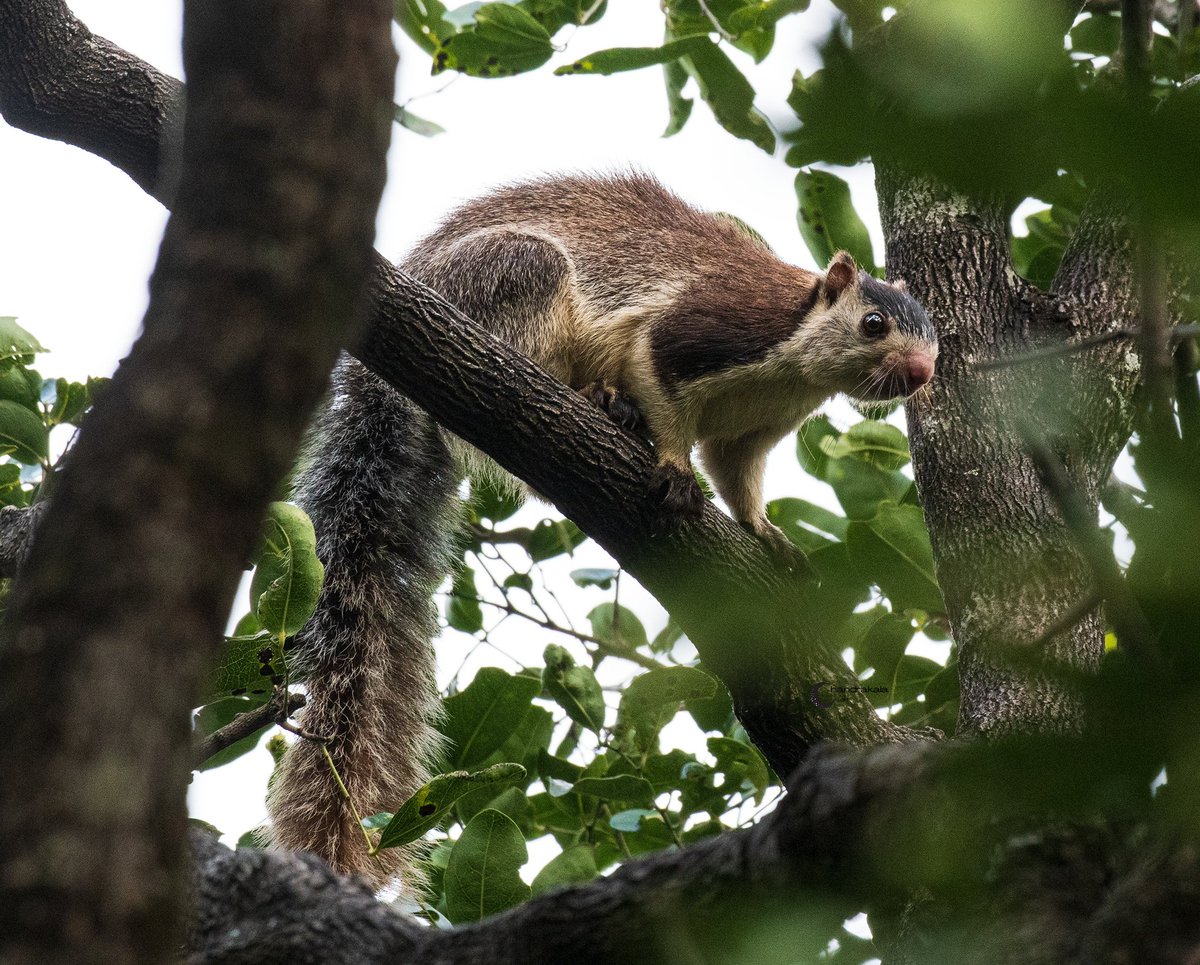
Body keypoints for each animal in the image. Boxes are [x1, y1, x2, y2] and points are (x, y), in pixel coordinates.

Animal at [267, 171, 940, 888]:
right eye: (873, 323)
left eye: (937, 338)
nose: (922, 374)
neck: (798, 367)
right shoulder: (703, 332)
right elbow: (663, 387)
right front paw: (673, 466)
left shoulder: (755, 431)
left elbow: (738, 477)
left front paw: (767, 535)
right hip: (509, 278)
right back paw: (597, 400)